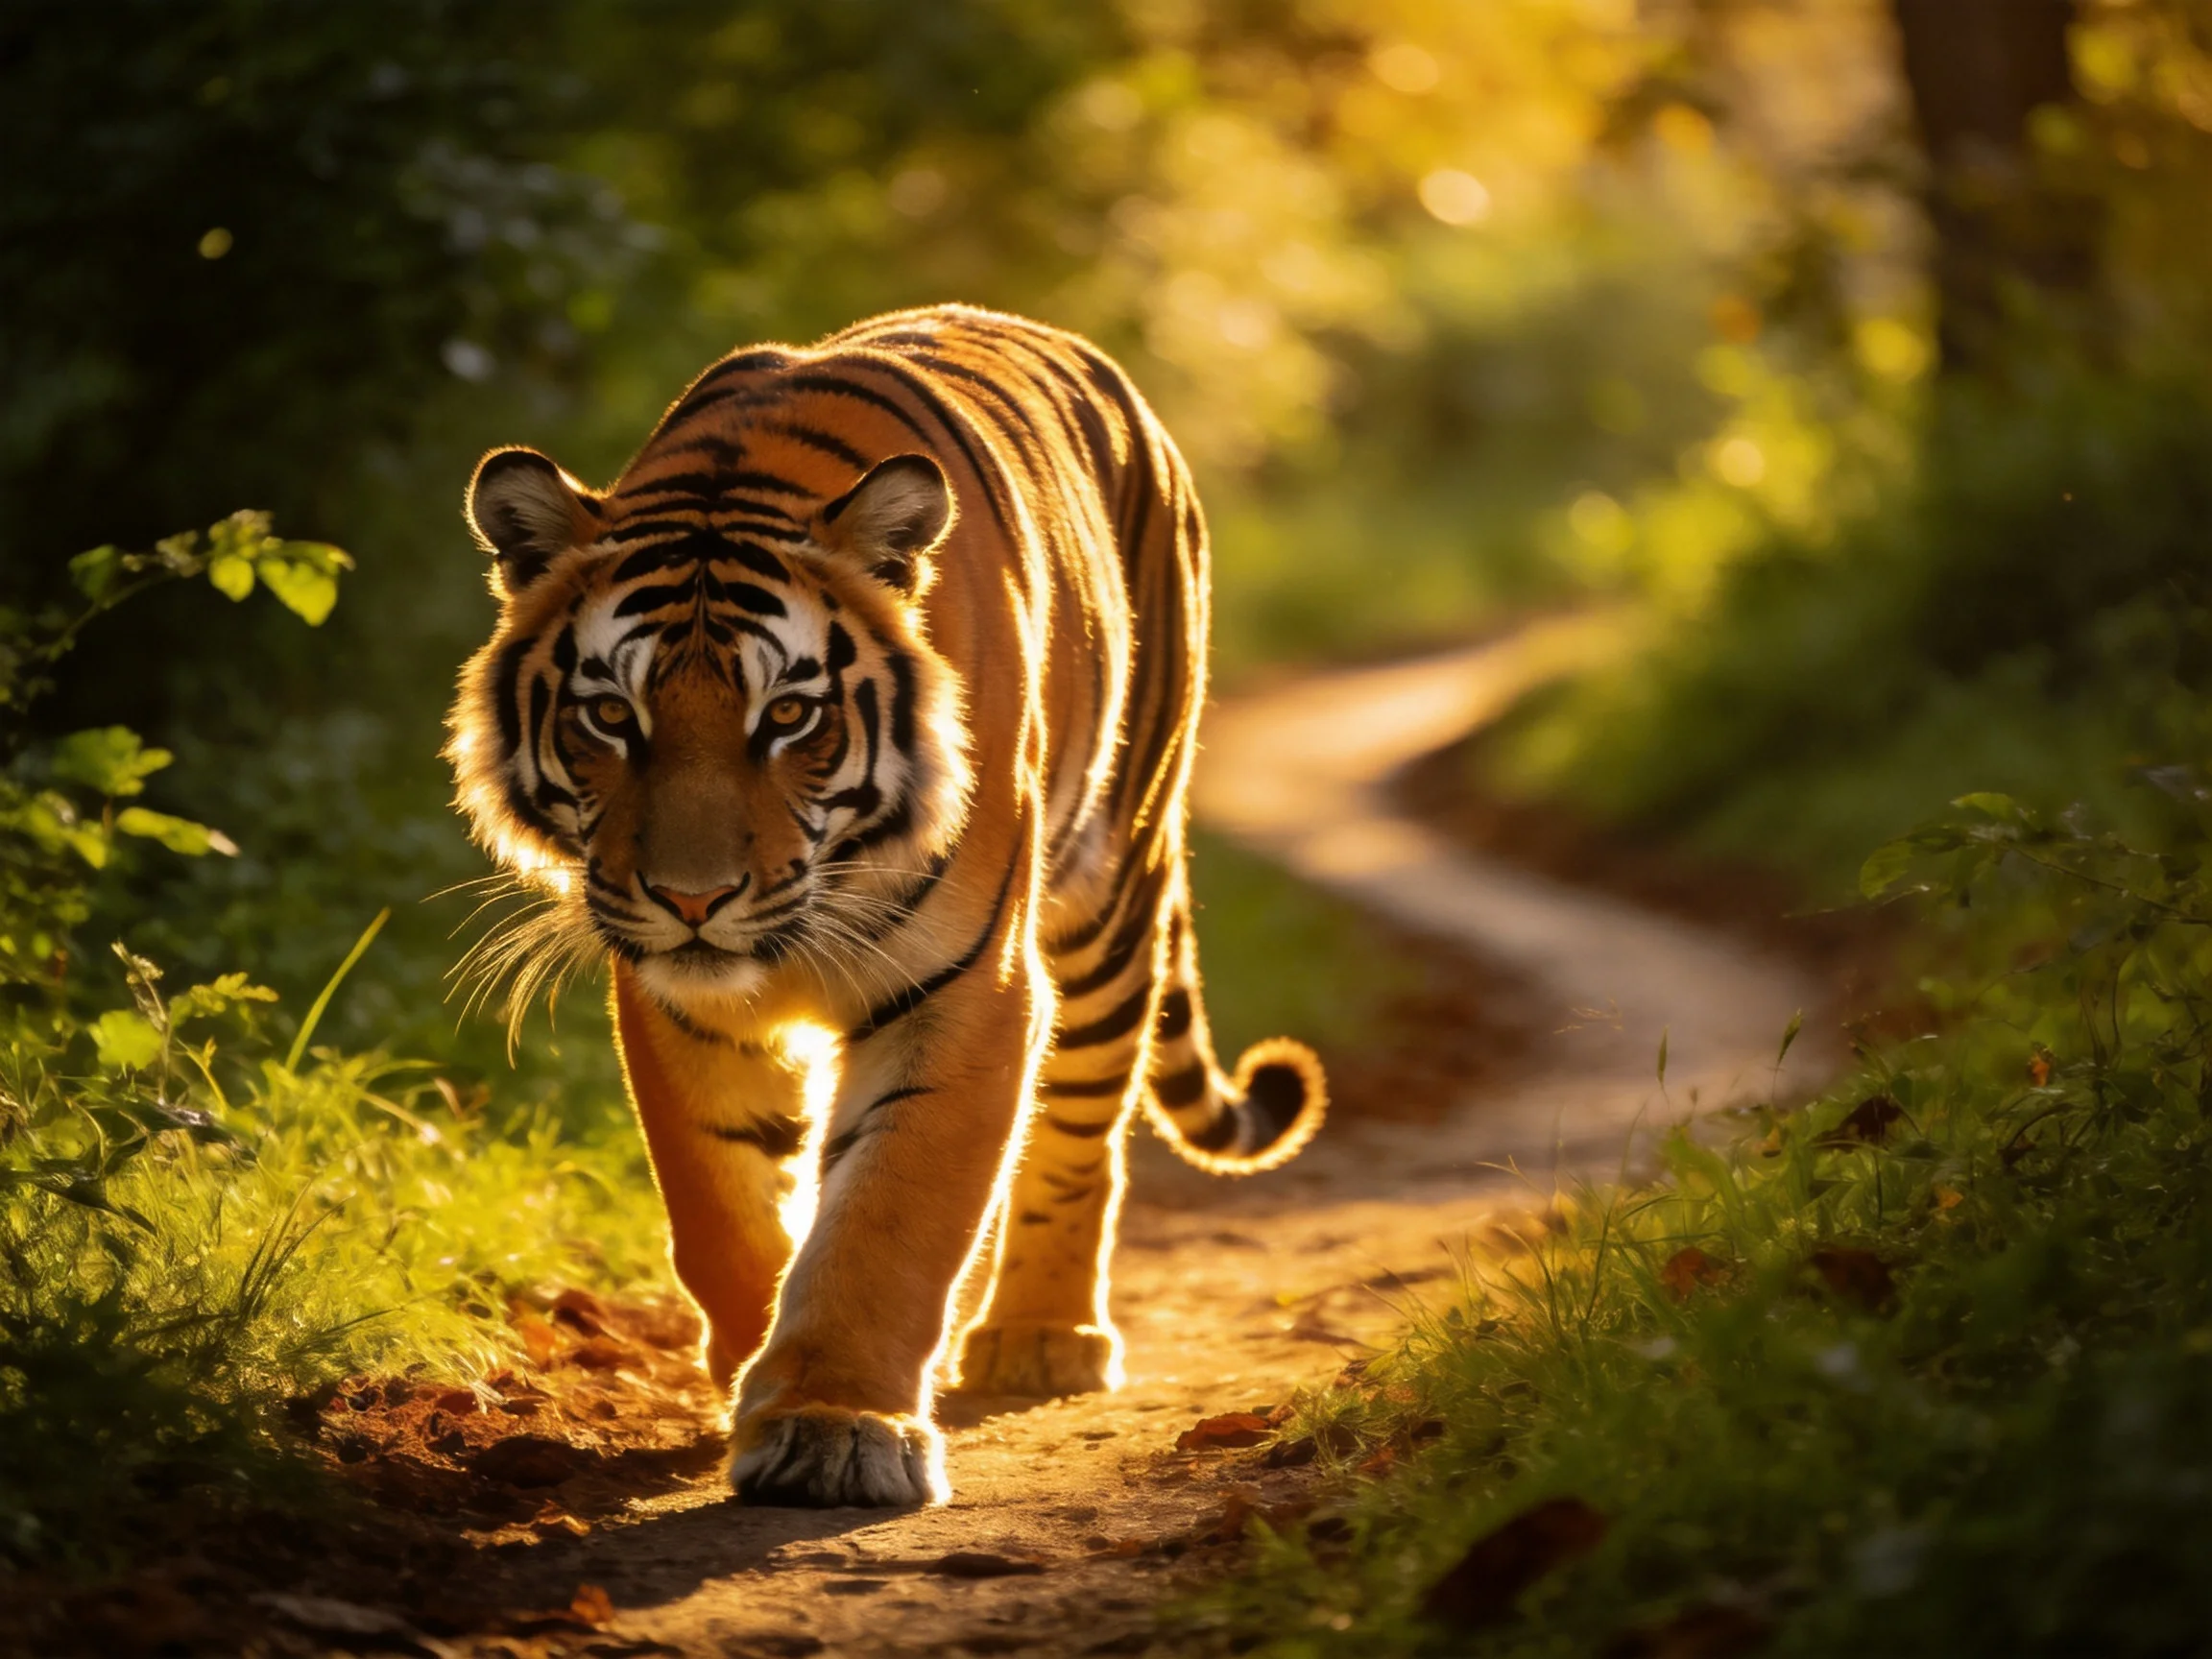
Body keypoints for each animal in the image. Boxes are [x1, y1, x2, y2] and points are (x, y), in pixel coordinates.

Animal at [446, 304, 1326, 1508]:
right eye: (611, 716)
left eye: (790, 715)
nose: (692, 897)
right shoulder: (677, 1001)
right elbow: (721, 1202)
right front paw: (751, 1365)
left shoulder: (965, 985)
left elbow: (890, 1213)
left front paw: (831, 1425)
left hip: (1112, 892)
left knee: (1082, 1126)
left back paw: (1040, 1335)